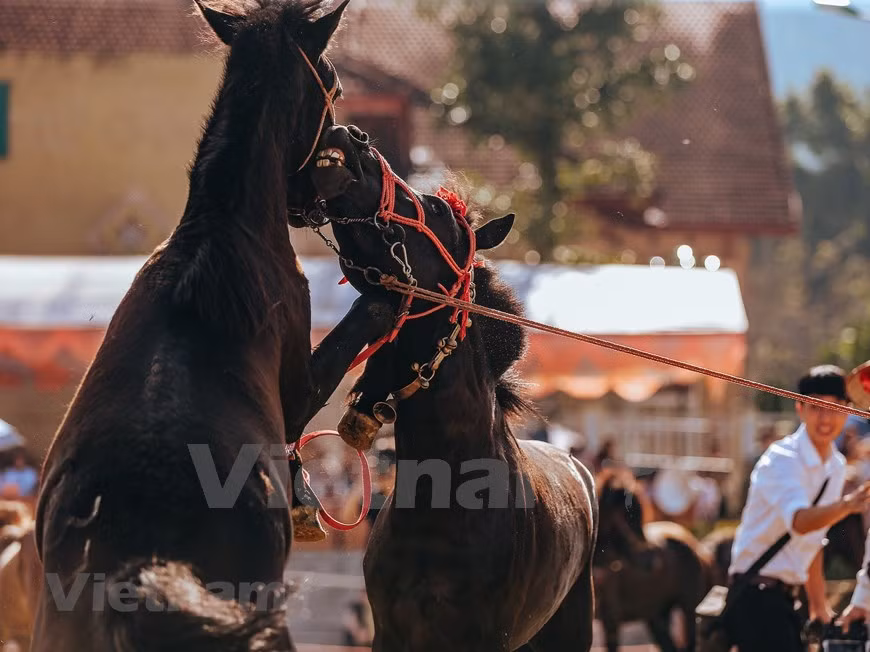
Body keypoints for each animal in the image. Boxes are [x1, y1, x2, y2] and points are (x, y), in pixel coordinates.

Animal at [30, 3, 395, 650]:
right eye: (333, 84)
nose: (309, 201)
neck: (222, 232)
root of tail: (141, 558)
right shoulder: (297, 391)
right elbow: (368, 314)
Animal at [594, 469, 713, 652]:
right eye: (627, 516)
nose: (653, 559)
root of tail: (695, 544)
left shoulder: (611, 620)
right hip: (658, 614)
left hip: (689, 609)